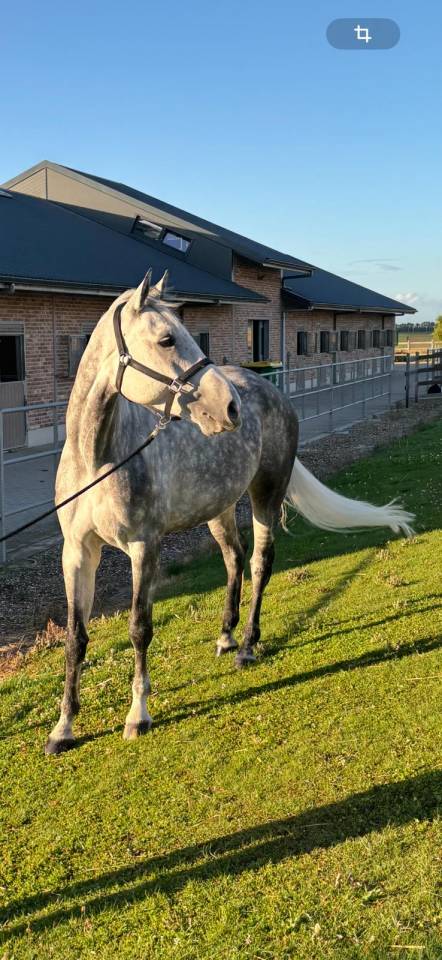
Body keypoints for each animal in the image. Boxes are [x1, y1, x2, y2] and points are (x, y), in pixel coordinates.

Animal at [45, 270, 414, 754]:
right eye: (166, 339)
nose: (230, 407)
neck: (99, 457)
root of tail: (272, 391)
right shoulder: (77, 552)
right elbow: (76, 637)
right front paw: (63, 727)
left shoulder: (144, 547)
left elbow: (139, 627)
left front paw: (138, 715)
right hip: (218, 508)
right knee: (234, 560)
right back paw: (226, 635)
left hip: (265, 495)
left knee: (259, 563)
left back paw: (248, 646)